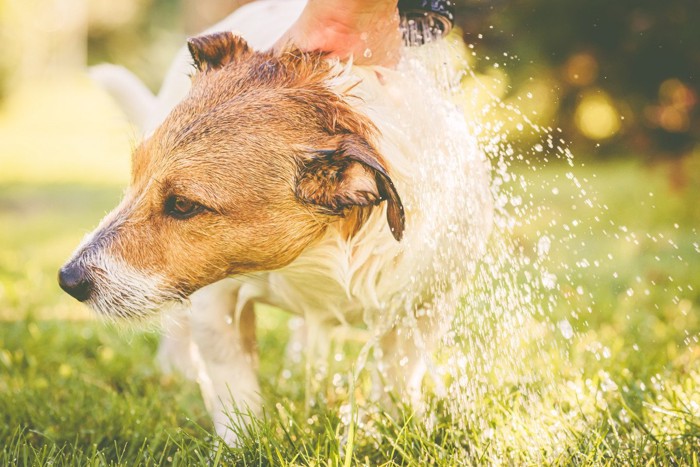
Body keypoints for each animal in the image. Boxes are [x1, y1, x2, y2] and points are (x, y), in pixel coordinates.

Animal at [61, 0, 498, 446]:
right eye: (135, 174)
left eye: (182, 204)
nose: (68, 279)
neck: (320, 249)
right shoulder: (215, 298)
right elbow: (233, 383)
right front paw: (240, 444)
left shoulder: (427, 304)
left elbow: (398, 375)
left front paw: (393, 428)